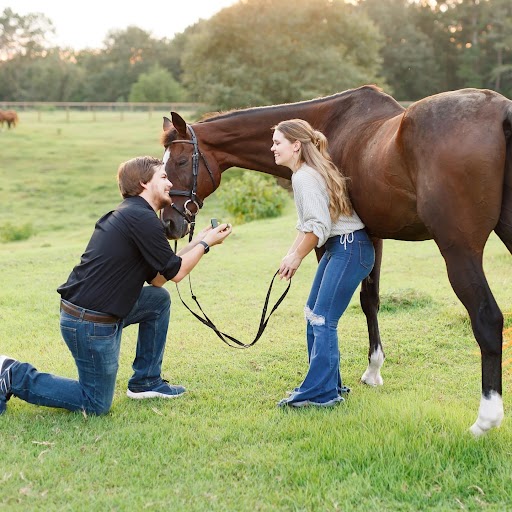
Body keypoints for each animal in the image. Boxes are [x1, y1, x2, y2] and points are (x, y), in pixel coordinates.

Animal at [160, 85, 512, 436]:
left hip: (459, 250)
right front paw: (373, 370)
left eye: (180, 161)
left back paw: (486, 419)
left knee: (487, 318)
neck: (328, 128)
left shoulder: (328, 238)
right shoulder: (372, 235)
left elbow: (329, 308)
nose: (169, 223)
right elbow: (370, 300)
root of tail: (501, 111)